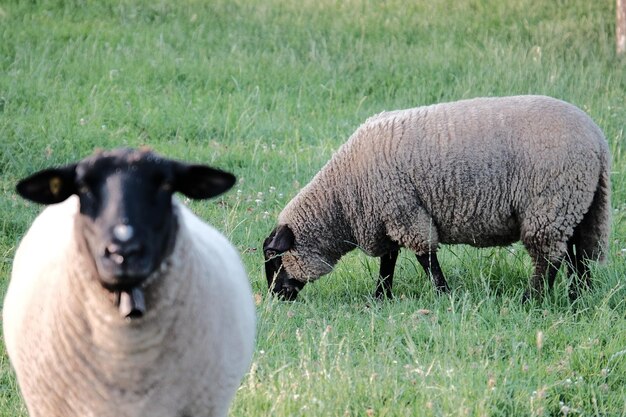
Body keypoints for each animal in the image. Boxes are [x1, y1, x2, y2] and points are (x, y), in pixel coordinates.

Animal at [264, 95, 608, 300]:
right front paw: (381, 297)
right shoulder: (388, 216)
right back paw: (579, 296)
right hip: (578, 203)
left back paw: (533, 298)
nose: (276, 298)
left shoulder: (403, 211)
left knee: (549, 257)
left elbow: (425, 257)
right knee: (577, 253)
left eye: (274, 258)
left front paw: (443, 294)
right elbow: (389, 260)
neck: (341, 201)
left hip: (549, 204)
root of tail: (597, 140)